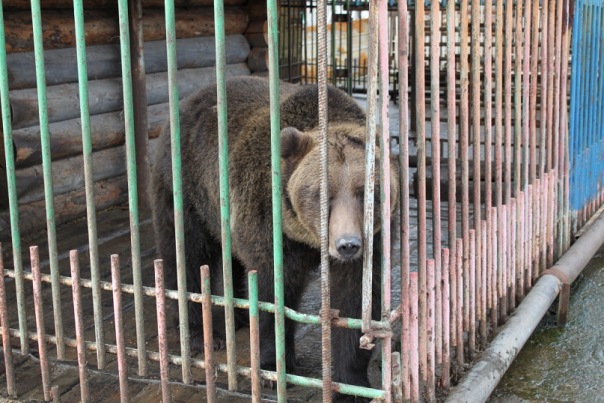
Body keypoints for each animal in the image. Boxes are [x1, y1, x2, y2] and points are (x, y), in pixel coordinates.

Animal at [151, 76, 398, 400]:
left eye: (366, 192)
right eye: (324, 194)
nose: (348, 245)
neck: (308, 238)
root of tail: (191, 98)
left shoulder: (372, 243)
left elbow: (354, 300)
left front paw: (352, 384)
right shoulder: (270, 223)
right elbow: (272, 293)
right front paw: (272, 368)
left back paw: (238, 314)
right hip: (187, 188)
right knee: (187, 254)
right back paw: (199, 334)